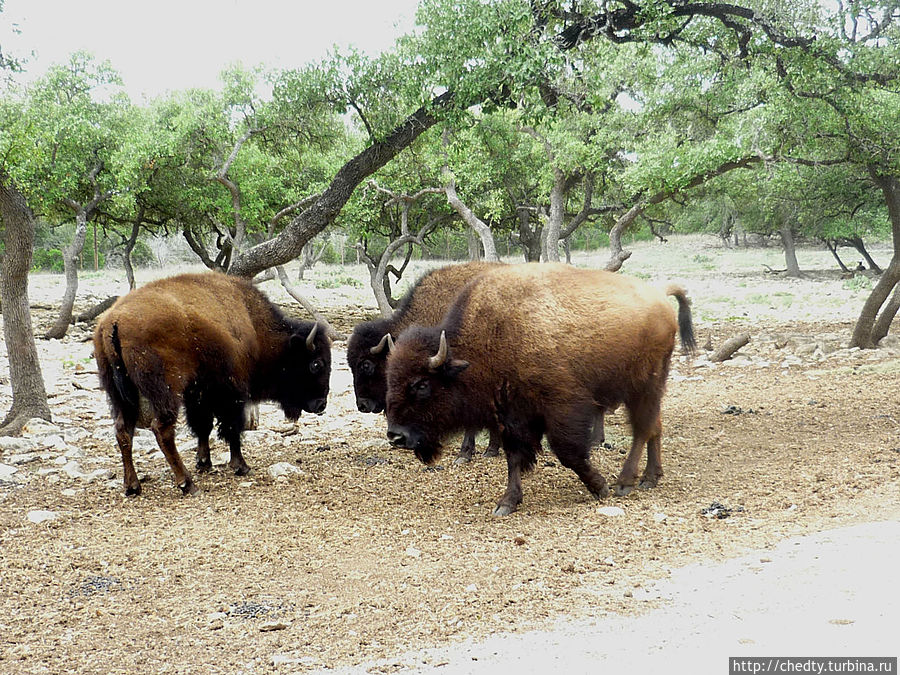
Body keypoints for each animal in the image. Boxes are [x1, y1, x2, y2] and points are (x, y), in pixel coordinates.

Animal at [93, 272, 332, 500]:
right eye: (316, 364)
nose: (321, 404)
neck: (253, 326)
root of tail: (114, 321)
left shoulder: (198, 394)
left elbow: (203, 426)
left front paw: (204, 462)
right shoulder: (231, 393)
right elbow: (232, 427)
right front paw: (241, 466)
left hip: (119, 395)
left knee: (123, 431)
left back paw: (132, 486)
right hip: (165, 394)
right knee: (162, 431)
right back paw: (187, 484)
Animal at [384, 262, 696, 516]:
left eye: (421, 384)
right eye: (389, 379)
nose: (396, 436)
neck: (489, 337)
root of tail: (659, 296)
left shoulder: (563, 407)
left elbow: (568, 452)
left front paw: (599, 487)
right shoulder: (511, 416)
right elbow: (514, 458)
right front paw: (507, 503)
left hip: (643, 386)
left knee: (642, 430)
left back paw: (624, 482)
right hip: (649, 389)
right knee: (655, 427)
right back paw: (650, 478)